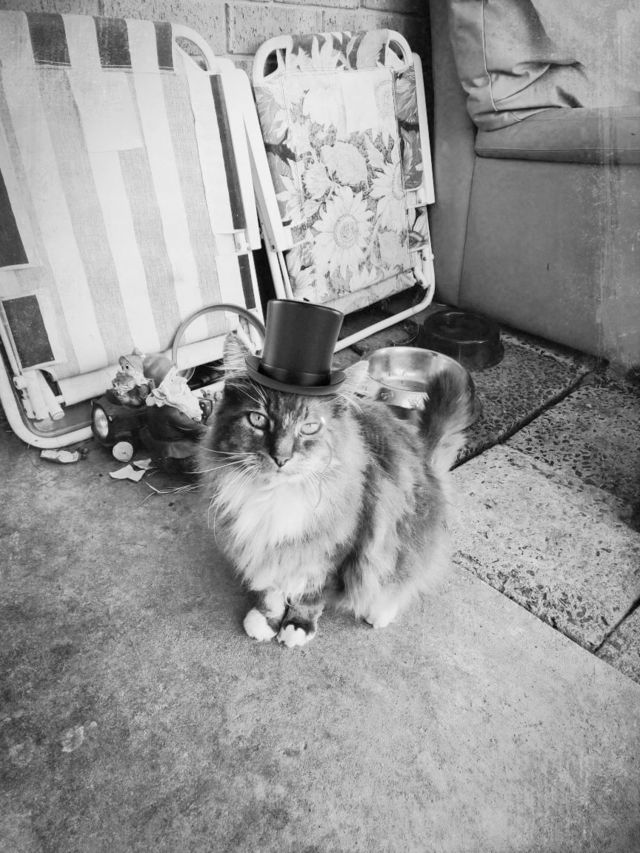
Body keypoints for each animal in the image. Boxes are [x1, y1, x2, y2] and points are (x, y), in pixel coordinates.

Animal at [199, 335, 475, 648]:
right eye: (257, 420)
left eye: (309, 428)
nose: (281, 458)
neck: (275, 496)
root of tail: (423, 452)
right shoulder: (268, 548)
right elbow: (271, 590)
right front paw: (266, 620)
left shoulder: (332, 552)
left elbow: (310, 596)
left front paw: (296, 627)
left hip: (403, 542)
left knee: (402, 580)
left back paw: (379, 612)